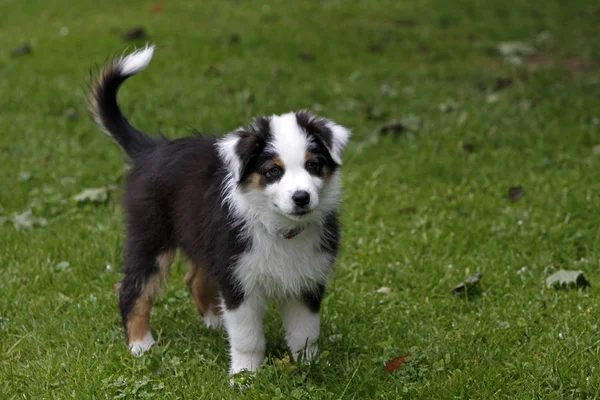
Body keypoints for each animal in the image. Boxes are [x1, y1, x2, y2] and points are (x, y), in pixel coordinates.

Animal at [89, 47, 352, 376]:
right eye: (273, 171)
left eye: (313, 165)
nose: (301, 198)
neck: (279, 228)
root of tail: (151, 149)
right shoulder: (239, 282)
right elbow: (248, 337)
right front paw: (244, 375)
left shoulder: (306, 279)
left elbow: (305, 332)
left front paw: (309, 364)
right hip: (151, 235)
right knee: (131, 288)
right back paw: (141, 344)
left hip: (208, 239)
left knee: (194, 278)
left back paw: (214, 322)